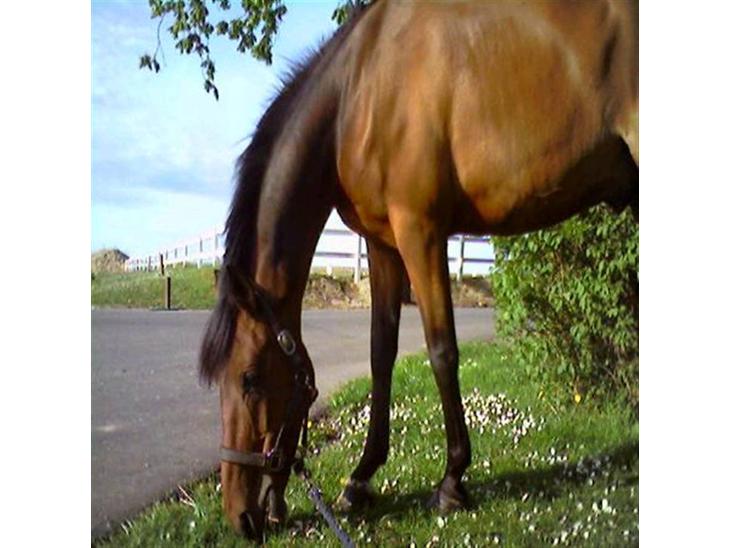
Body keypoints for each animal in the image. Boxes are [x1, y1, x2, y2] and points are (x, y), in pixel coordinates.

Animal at [199, 0, 638, 541]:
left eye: (250, 378)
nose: (241, 515)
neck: (358, 93)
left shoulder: (420, 231)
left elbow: (441, 350)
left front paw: (452, 482)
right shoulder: (383, 243)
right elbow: (380, 354)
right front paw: (360, 479)